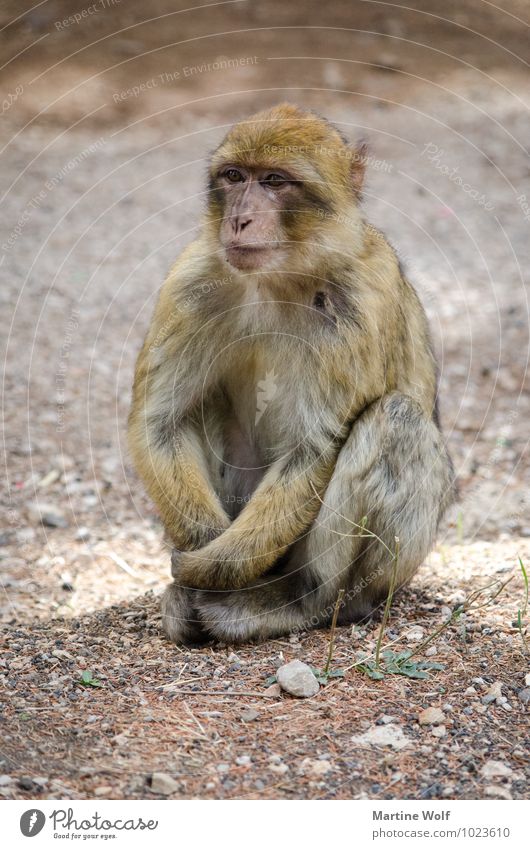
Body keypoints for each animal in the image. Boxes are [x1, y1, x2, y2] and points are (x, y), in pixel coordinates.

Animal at [128, 101, 454, 644]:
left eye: (275, 181)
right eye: (234, 177)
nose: (239, 218)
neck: (278, 276)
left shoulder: (360, 299)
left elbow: (314, 446)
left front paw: (210, 570)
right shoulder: (191, 281)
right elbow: (162, 422)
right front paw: (201, 554)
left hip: (391, 571)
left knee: (396, 417)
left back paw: (300, 598)